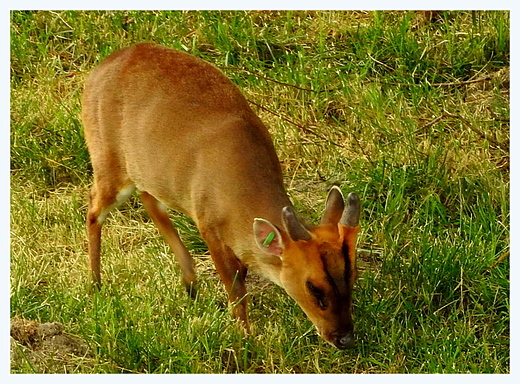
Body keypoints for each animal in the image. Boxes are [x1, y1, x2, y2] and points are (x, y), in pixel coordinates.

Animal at [83, 43, 364, 350]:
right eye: (313, 287)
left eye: (352, 276)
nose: (345, 338)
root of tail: (98, 70)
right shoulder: (208, 224)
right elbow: (236, 289)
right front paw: (244, 339)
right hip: (107, 158)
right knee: (94, 207)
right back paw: (96, 285)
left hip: (148, 171)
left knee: (149, 200)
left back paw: (190, 286)